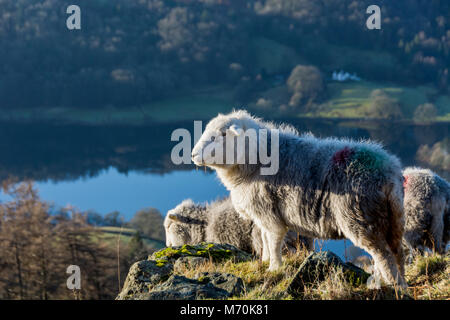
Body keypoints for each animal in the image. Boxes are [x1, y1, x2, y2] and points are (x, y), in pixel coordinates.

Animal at [192, 110, 406, 288]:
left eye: (218, 136)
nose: (193, 155)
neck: (256, 158)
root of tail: (389, 172)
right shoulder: (263, 215)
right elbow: (265, 239)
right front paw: (264, 262)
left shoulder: (270, 215)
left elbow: (273, 241)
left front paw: (274, 267)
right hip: (392, 220)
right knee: (396, 253)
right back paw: (400, 283)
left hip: (360, 218)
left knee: (383, 254)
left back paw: (393, 285)